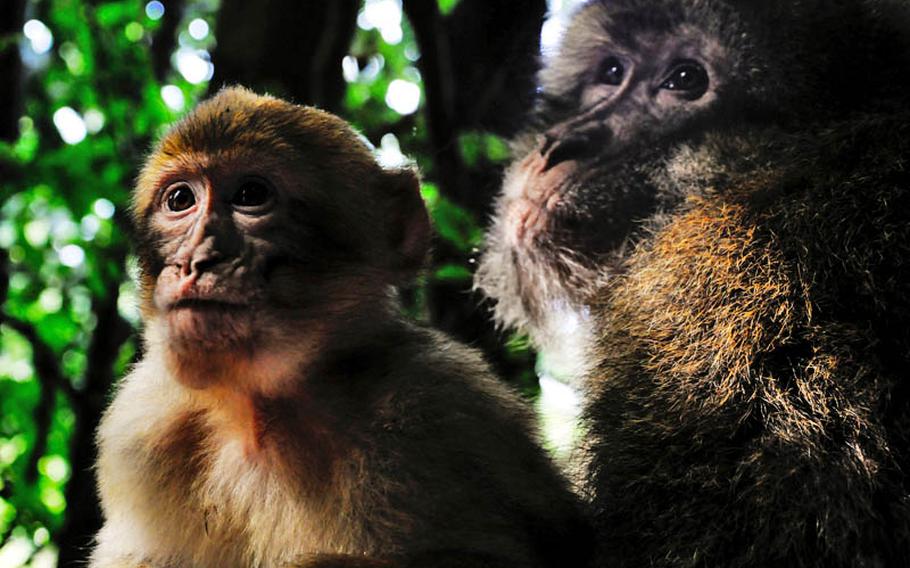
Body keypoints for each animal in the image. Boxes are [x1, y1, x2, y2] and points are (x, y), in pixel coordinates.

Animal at [92, 87, 592, 568]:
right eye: (180, 200)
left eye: (251, 195)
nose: (194, 260)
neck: (260, 412)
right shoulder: (140, 425)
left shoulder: (440, 405)